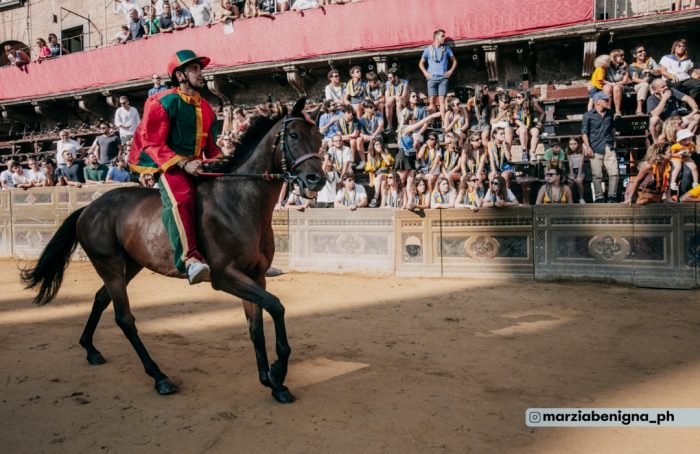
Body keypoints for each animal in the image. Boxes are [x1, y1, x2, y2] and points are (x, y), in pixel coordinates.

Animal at [20, 98, 325, 404]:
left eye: (320, 138)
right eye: (294, 135)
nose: (316, 180)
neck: (240, 200)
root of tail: (88, 209)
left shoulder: (255, 276)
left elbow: (256, 328)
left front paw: (272, 382)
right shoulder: (225, 277)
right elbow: (276, 306)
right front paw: (278, 371)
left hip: (128, 265)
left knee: (100, 298)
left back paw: (90, 348)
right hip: (110, 266)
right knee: (124, 318)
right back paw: (159, 377)